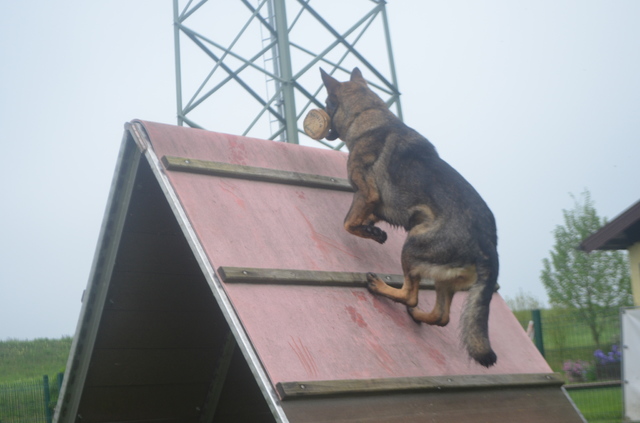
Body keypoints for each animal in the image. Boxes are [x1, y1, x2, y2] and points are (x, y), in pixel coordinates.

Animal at [322, 68, 498, 366]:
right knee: (441, 316)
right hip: (443, 278)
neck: (367, 114)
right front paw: (371, 229)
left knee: (411, 295)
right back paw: (418, 316)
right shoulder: (374, 205)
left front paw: (370, 232)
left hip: (412, 247)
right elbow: (362, 220)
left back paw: (382, 288)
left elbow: (348, 223)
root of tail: (488, 245)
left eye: (325, 103)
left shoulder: (366, 193)